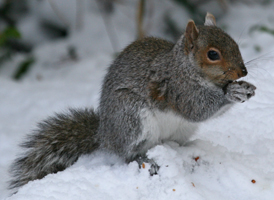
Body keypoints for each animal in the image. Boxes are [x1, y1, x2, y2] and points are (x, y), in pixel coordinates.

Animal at [9, 13, 256, 191]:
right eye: (213, 54)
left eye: (235, 44)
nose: (243, 71)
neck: (185, 67)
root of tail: (105, 135)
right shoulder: (178, 89)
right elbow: (197, 108)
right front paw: (232, 92)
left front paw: (244, 88)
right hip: (131, 117)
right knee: (126, 153)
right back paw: (144, 160)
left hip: (179, 131)